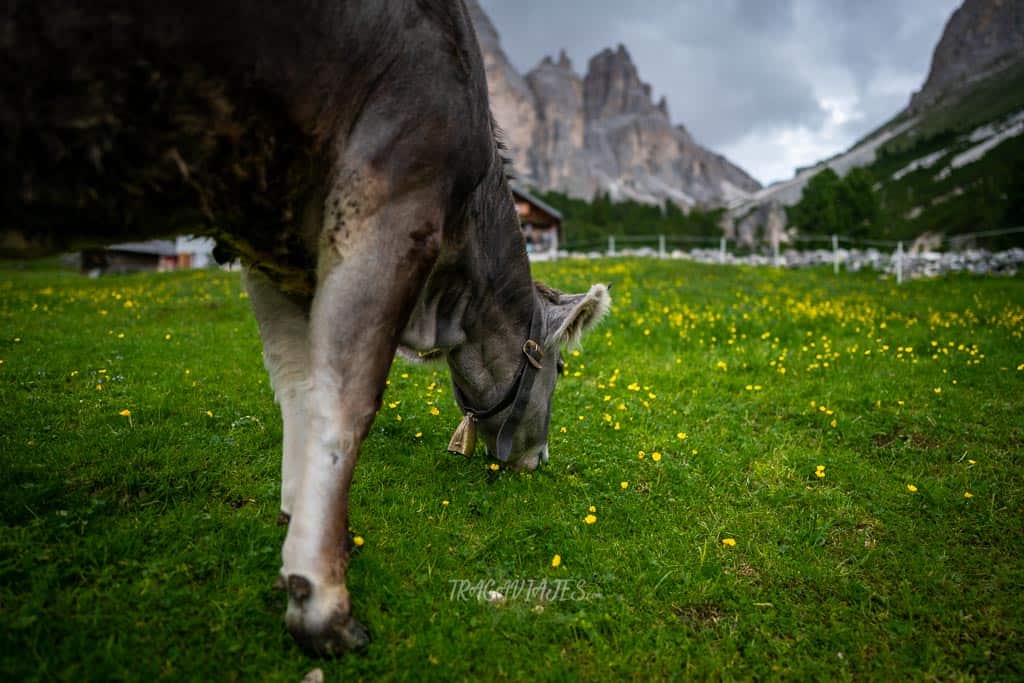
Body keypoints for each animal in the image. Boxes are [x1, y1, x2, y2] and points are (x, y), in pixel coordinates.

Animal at [0, 0, 606, 655]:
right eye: (562, 366)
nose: (540, 458)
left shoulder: (275, 253)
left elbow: (300, 393)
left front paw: (303, 534)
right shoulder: (389, 210)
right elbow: (347, 406)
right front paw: (322, 600)